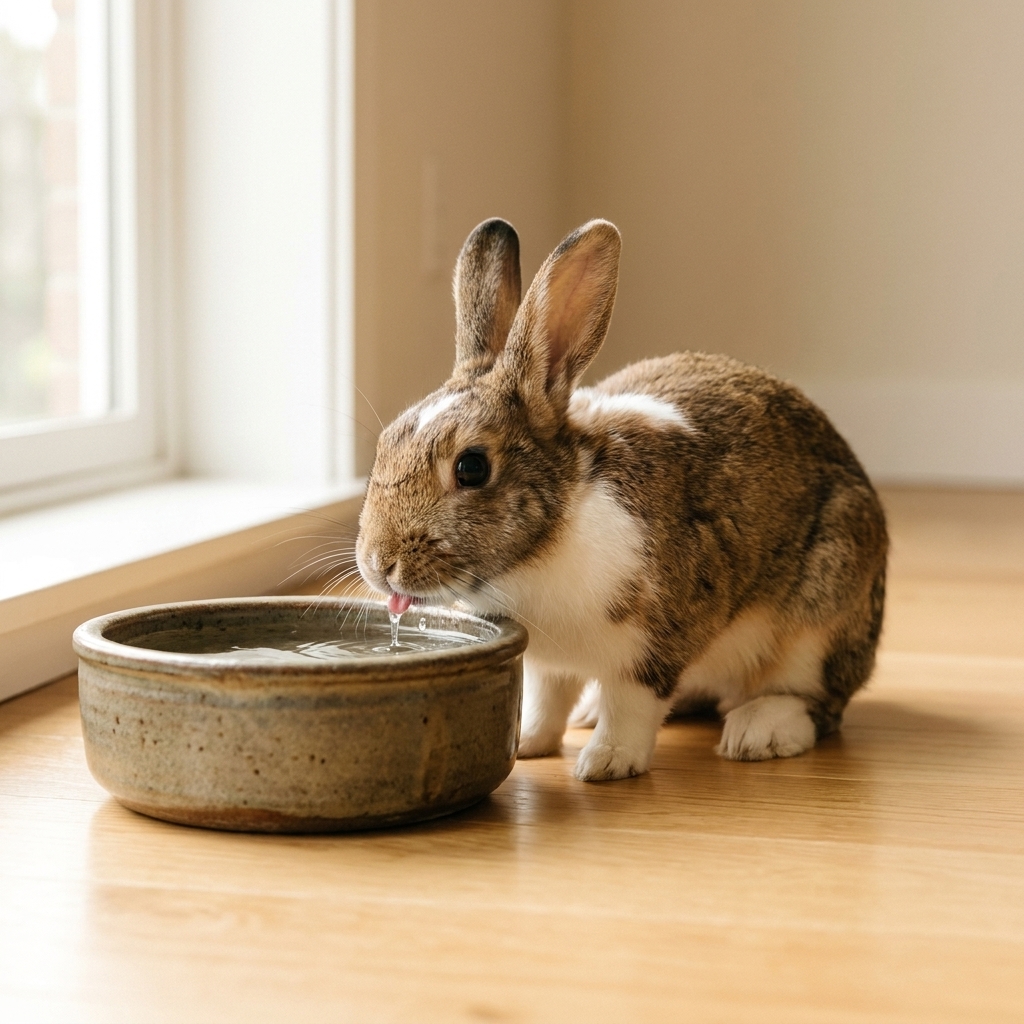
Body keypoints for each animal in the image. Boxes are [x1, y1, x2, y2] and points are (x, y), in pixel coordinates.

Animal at [355, 217, 888, 781]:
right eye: (385, 442)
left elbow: (632, 707)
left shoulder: (653, 647)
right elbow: (547, 700)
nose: (378, 564)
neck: (550, 536)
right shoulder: (548, 663)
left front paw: (606, 763)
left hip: (822, 616)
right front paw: (530, 743)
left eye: (472, 467)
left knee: (817, 704)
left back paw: (757, 731)